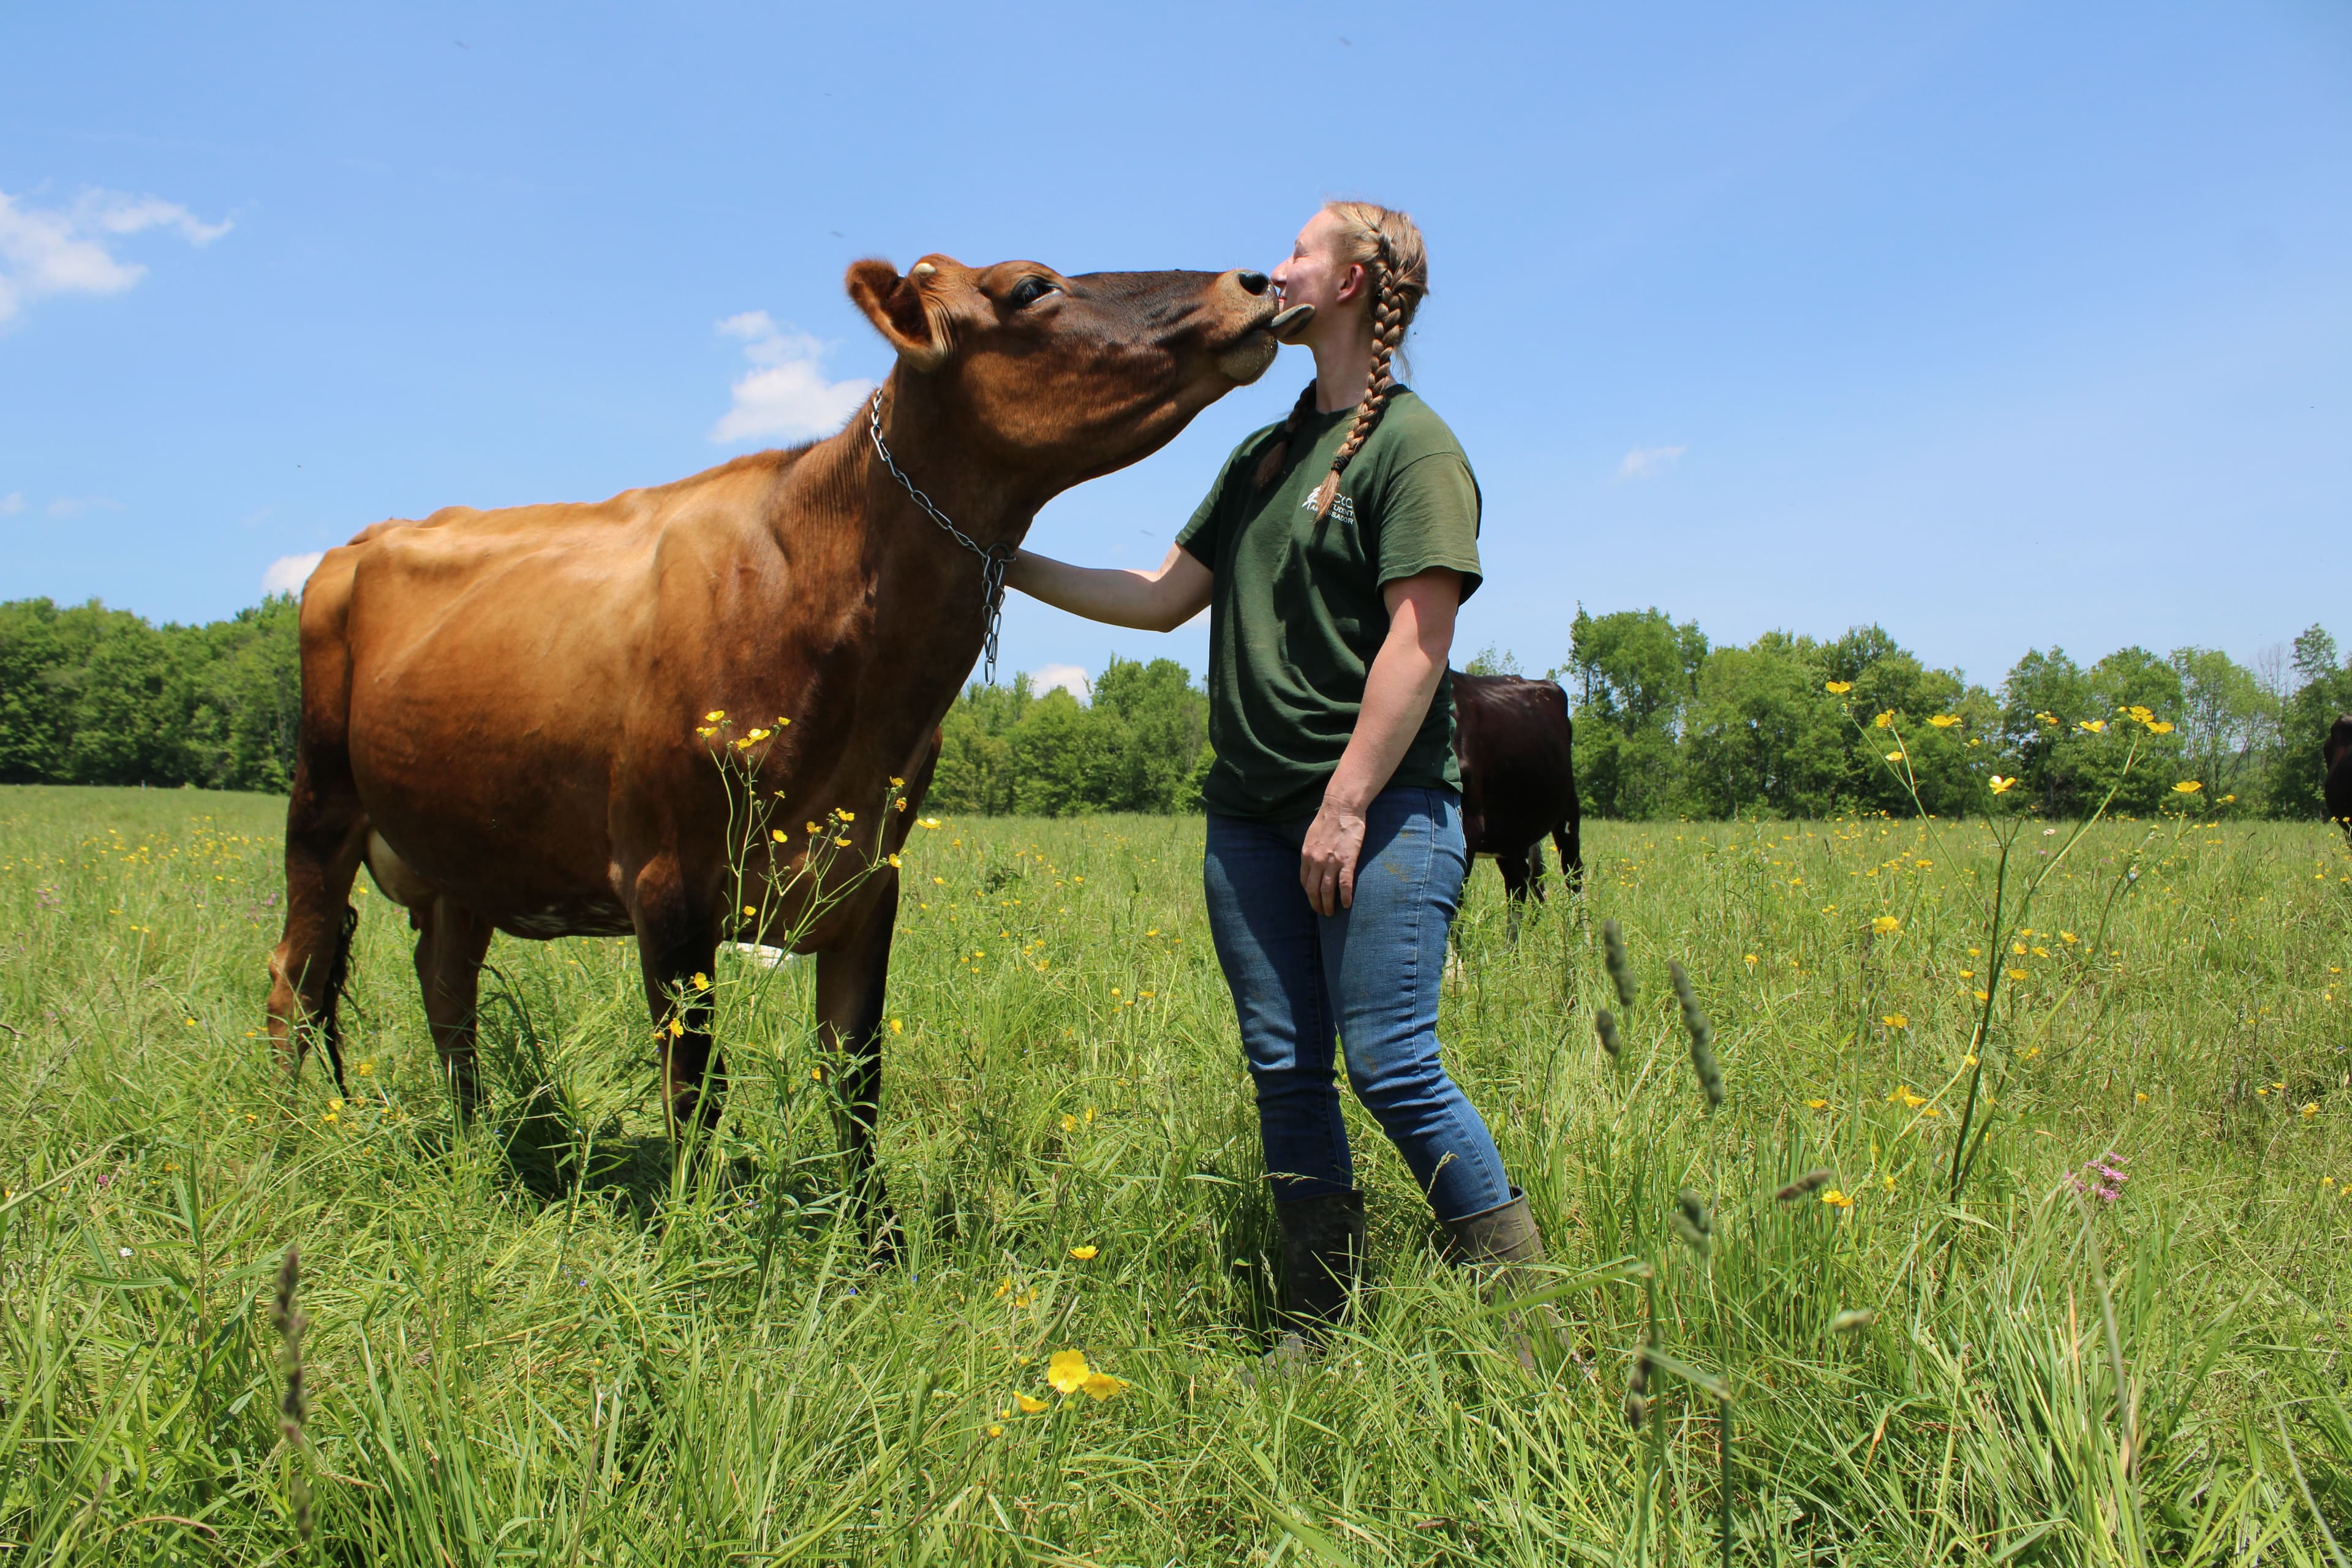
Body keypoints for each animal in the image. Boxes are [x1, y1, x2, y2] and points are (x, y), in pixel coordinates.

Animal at [267, 254, 1296, 1248]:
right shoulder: (667, 880)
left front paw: (875, 1243)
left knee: (446, 990)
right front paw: (692, 1238)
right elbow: (695, 1083)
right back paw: (294, 1141)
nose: (1252, 280)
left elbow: (855, 1074)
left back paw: (473, 1145)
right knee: (298, 977)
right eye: (1034, 286)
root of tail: (364, 539)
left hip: (464, 855)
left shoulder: (868, 879)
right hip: (321, 803)